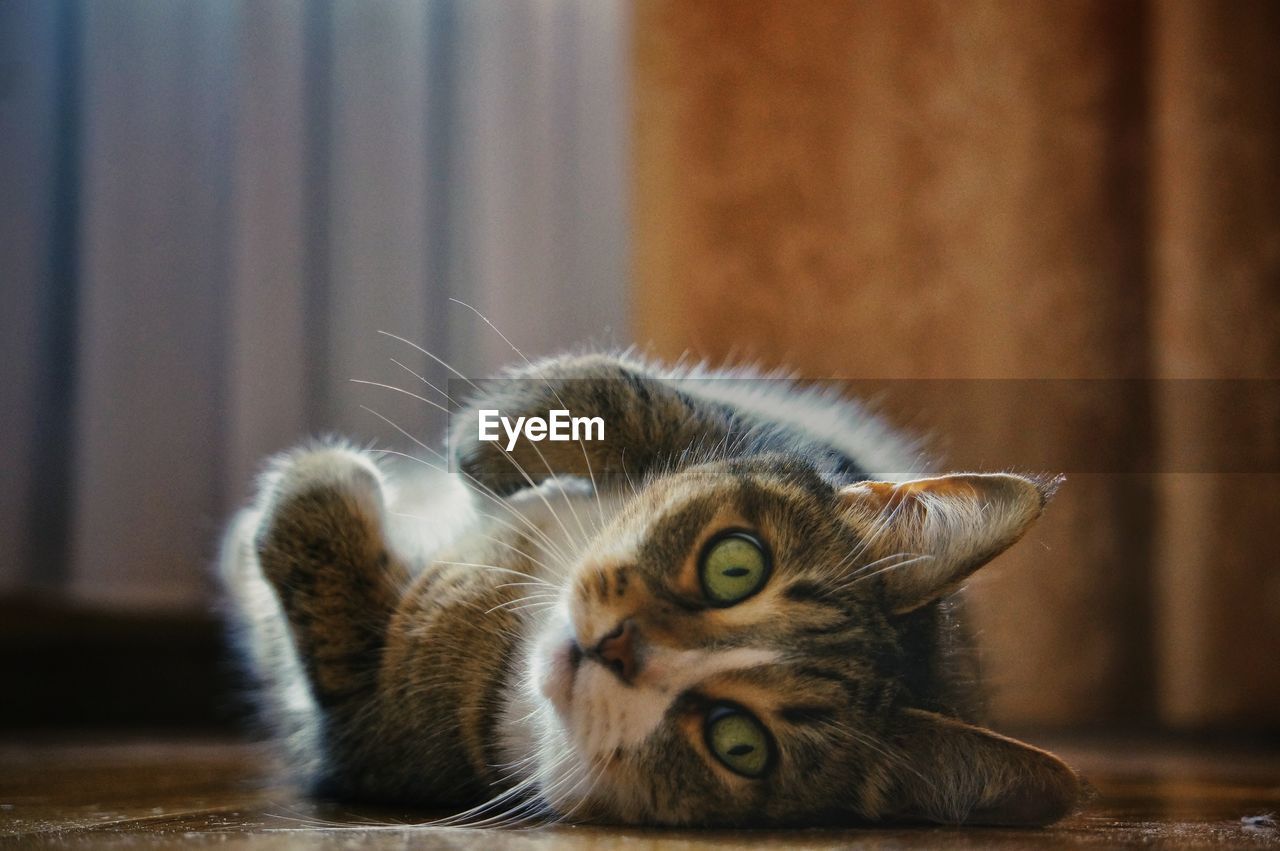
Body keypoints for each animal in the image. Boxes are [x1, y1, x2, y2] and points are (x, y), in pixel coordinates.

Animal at [217, 348, 1080, 824]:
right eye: (736, 564)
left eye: (740, 743)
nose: (619, 646)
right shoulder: (775, 432)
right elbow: (652, 399)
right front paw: (489, 441)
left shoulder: (380, 717)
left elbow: (323, 580)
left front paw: (318, 479)